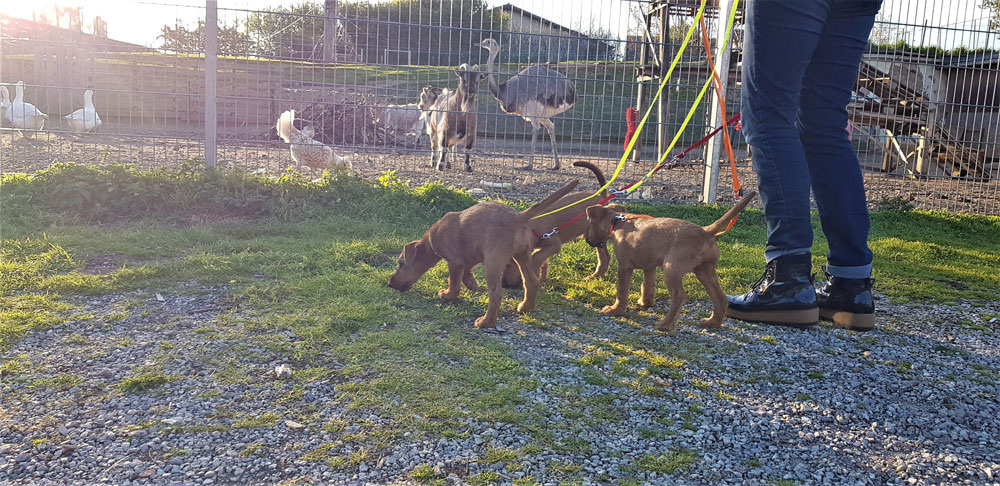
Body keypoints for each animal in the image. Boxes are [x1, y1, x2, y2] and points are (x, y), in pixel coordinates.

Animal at [389, 180, 580, 329]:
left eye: (400, 263)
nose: (390, 284)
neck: (431, 240)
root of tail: (518, 217)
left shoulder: (455, 261)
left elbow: (454, 283)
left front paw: (448, 295)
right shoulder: (472, 256)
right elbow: (466, 273)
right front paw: (472, 284)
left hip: (493, 263)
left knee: (496, 293)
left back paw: (486, 322)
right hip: (522, 255)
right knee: (531, 282)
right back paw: (525, 307)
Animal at [584, 191, 757, 331]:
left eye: (589, 222)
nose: (588, 241)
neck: (618, 222)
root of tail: (705, 231)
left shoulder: (624, 266)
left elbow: (622, 291)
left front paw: (615, 310)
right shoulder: (650, 266)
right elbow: (647, 286)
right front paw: (645, 303)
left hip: (671, 269)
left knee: (679, 296)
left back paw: (665, 325)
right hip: (704, 270)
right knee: (720, 297)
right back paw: (712, 322)